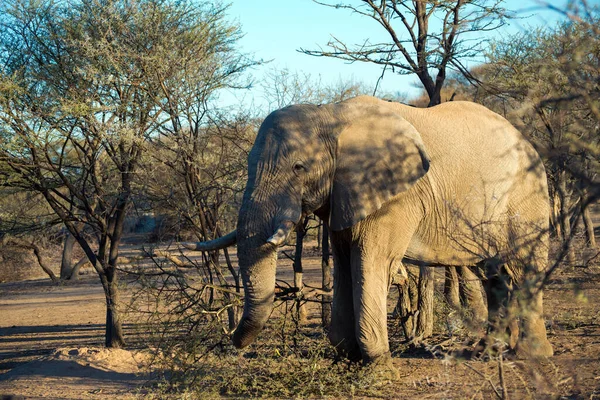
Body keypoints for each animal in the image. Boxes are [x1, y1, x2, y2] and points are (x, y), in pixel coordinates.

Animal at [191, 95, 552, 374]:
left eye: (298, 168)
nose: (232, 342)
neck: (331, 114)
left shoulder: (397, 196)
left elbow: (371, 260)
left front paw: (378, 365)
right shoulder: (343, 194)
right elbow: (344, 261)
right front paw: (348, 358)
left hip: (526, 197)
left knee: (522, 269)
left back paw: (533, 355)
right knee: (495, 275)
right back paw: (490, 352)